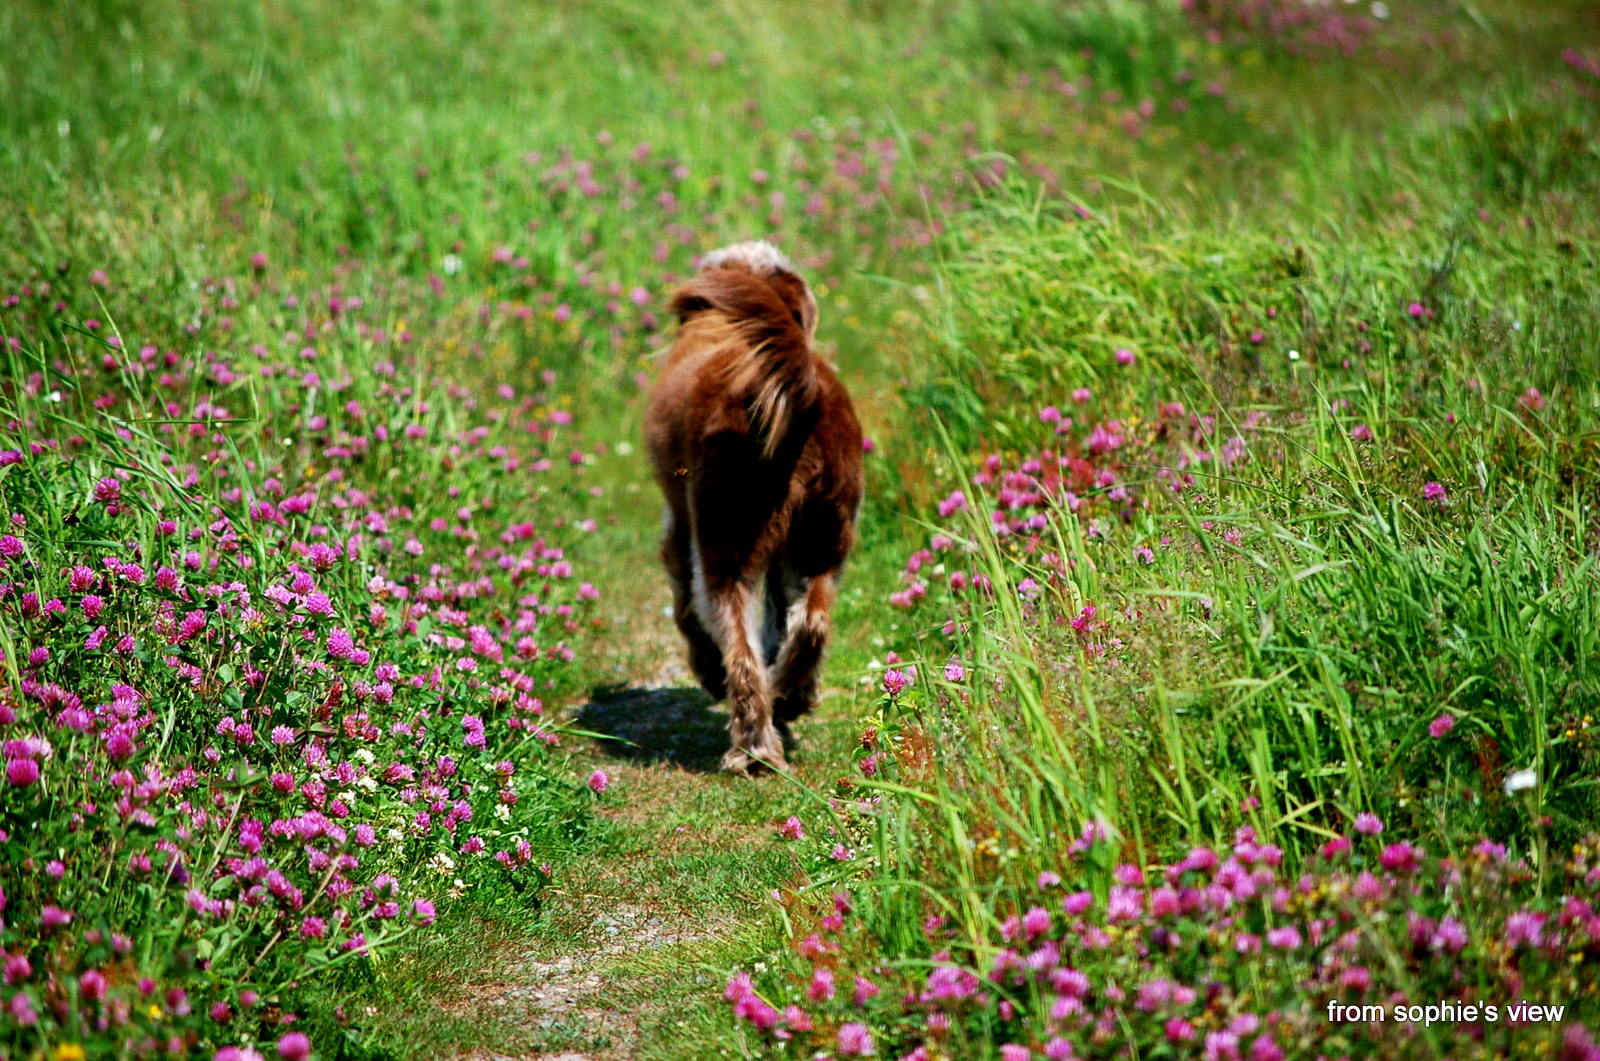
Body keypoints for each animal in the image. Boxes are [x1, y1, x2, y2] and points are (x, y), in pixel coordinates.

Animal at [644, 241, 863, 774]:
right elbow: (783, 618)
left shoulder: (680, 526)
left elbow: (685, 607)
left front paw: (706, 669)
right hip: (825, 536)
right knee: (810, 621)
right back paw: (786, 694)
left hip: (725, 538)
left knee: (739, 647)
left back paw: (752, 748)